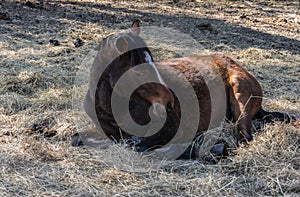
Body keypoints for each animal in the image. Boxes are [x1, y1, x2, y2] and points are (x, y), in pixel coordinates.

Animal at [79, 20, 296, 159]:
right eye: (139, 71)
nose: (169, 103)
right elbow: (78, 138)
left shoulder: (171, 128)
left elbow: (140, 147)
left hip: (240, 95)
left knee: (244, 136)